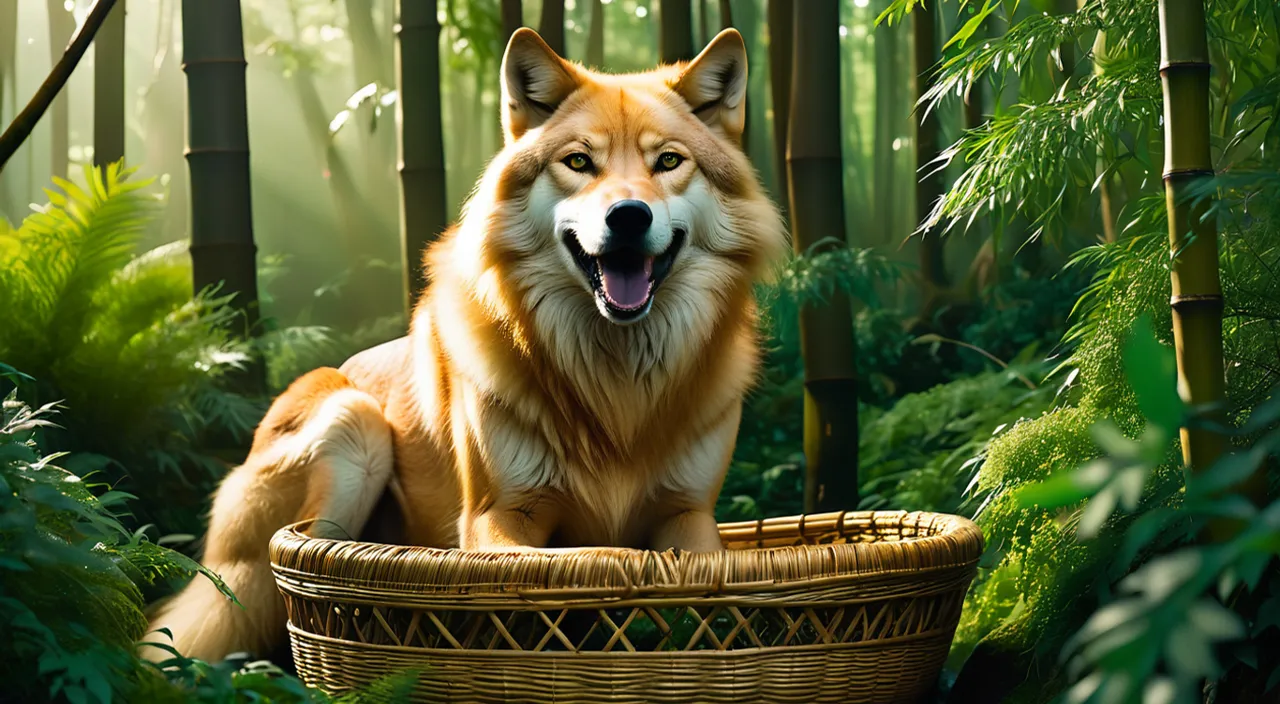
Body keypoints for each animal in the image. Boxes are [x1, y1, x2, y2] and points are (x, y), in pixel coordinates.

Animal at [149, 26, 788, 665]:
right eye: (579, 162)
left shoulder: (692, 516)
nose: (627, 216)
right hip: (352, 430)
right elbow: (594, 560)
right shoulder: (496, 518)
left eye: (669, 161)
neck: (615, 385)